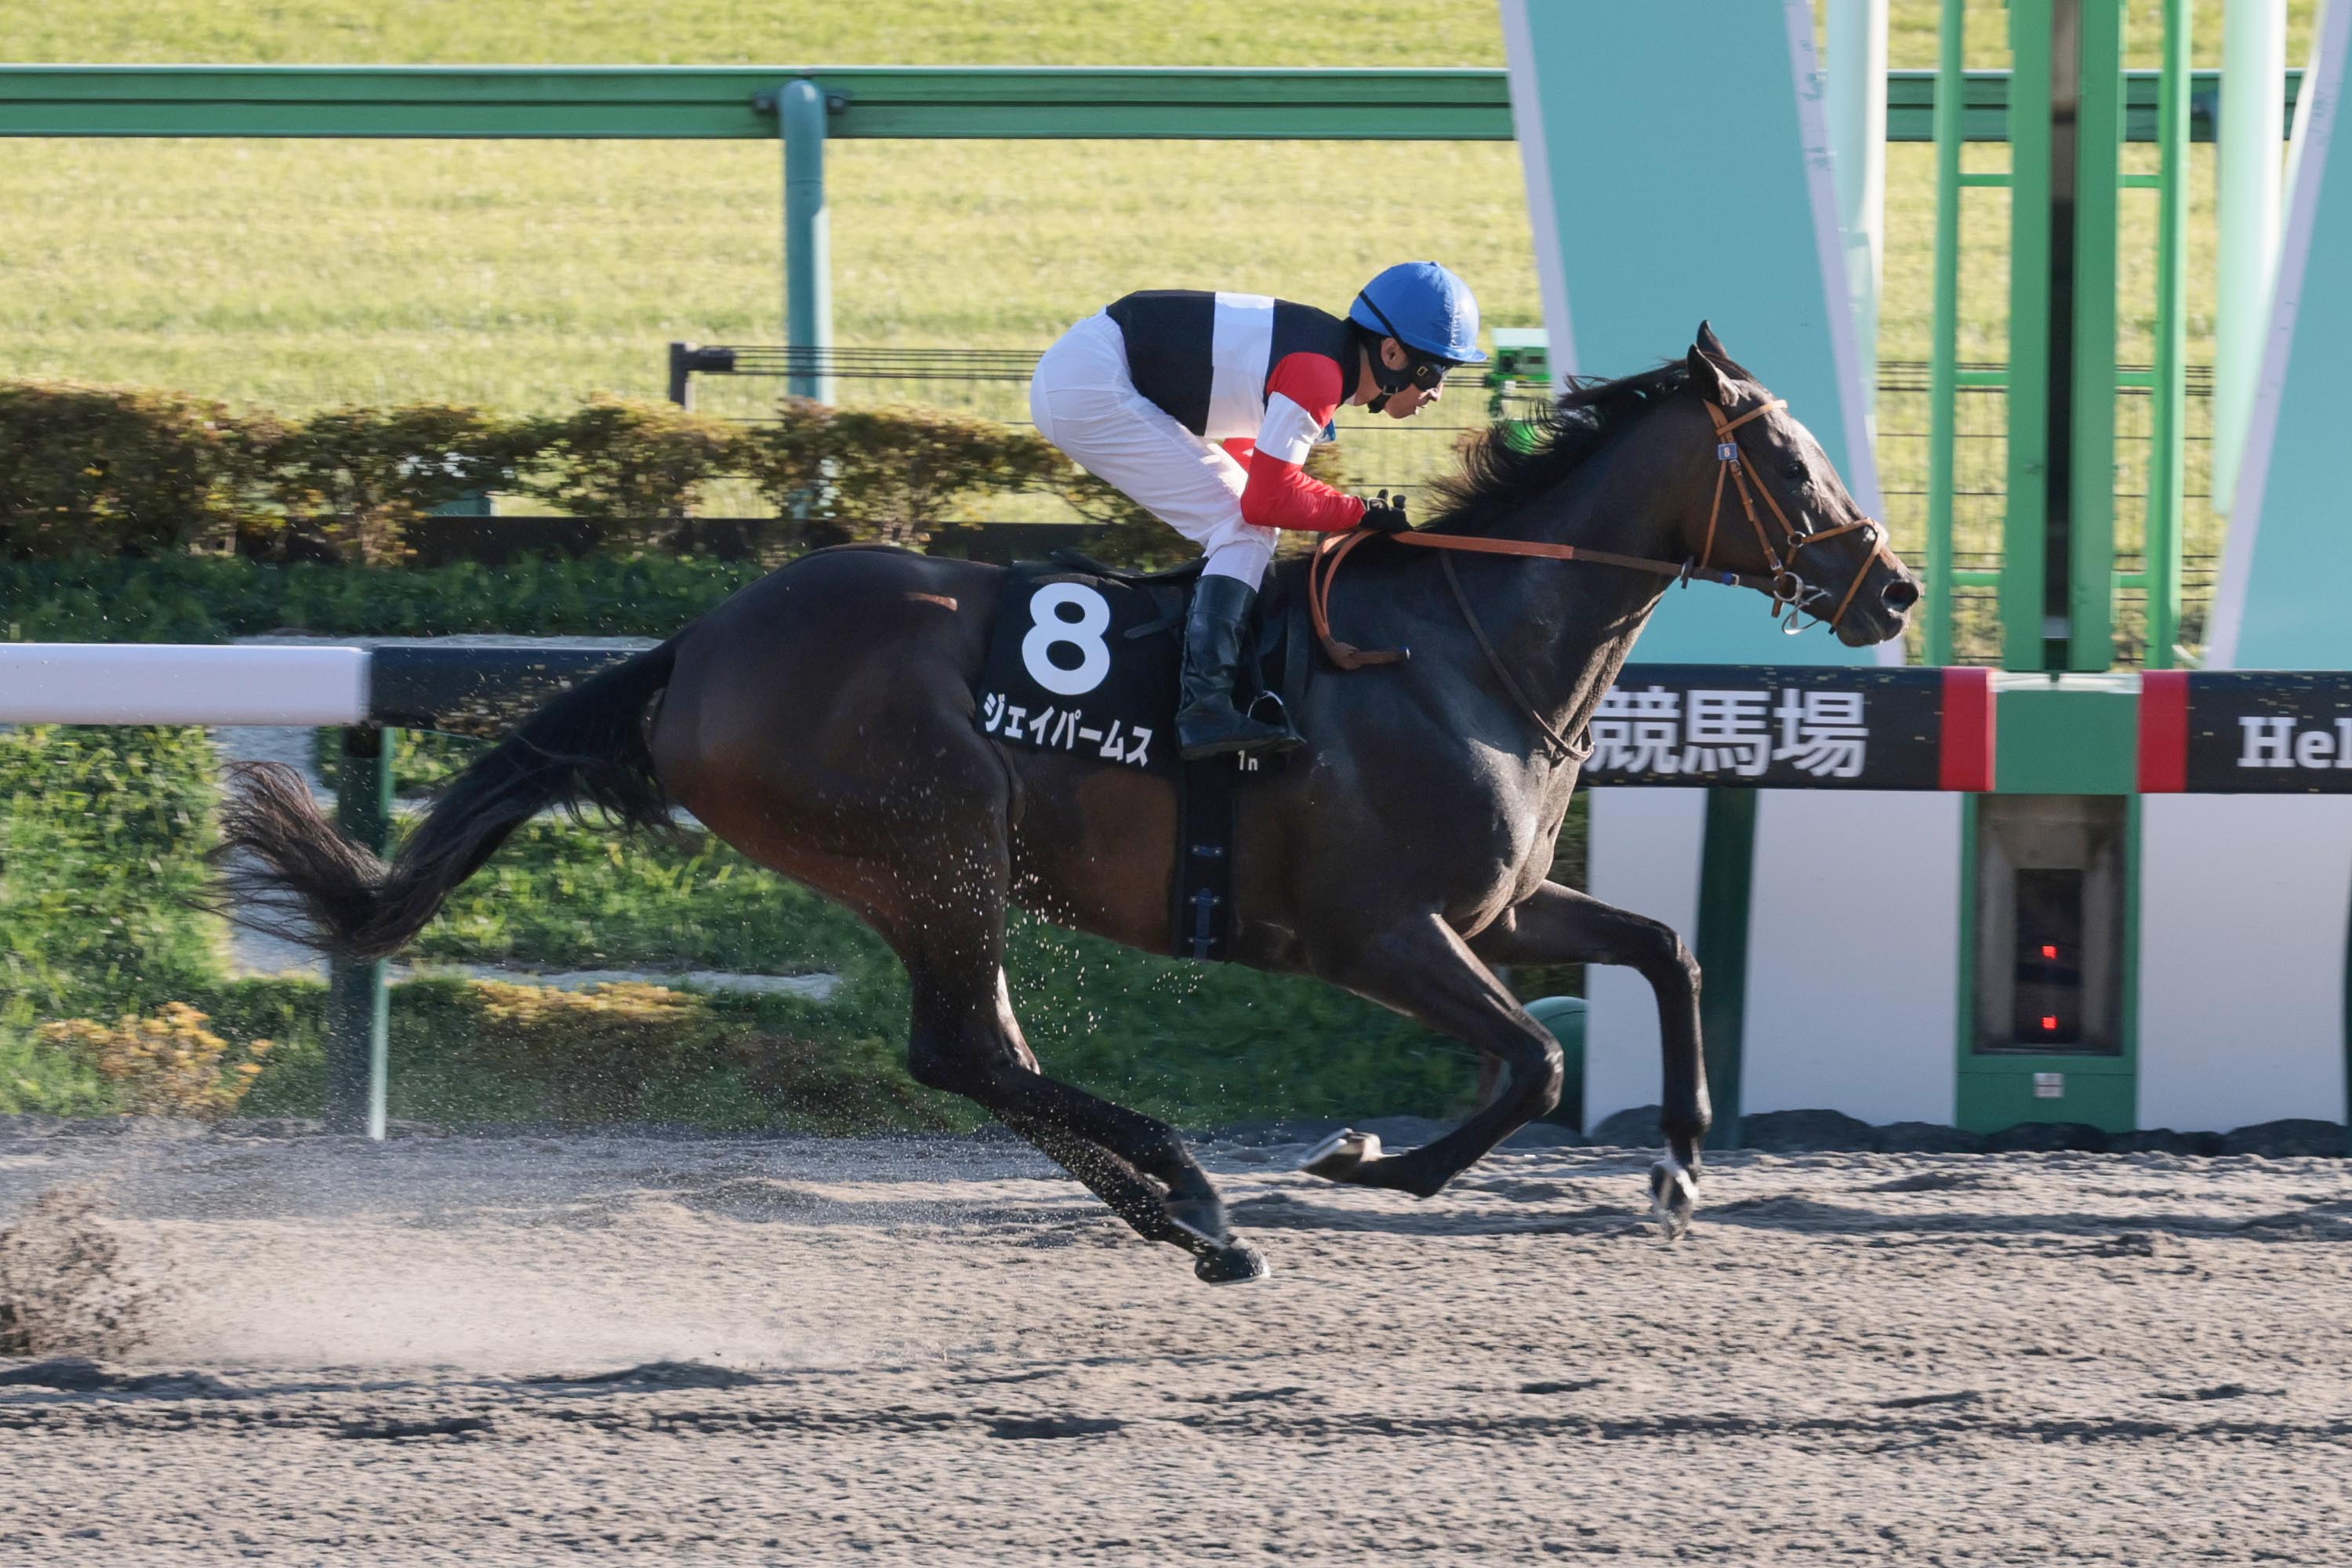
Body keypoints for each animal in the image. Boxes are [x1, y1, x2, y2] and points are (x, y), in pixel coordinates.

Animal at [216, 323, 1918, 1283]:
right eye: (1784, 457)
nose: (1891, 585)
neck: (1462, 647)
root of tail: (699, 645)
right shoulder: (1377, 933)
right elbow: (1535, 1064)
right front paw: (1371, 1164)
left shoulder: (1494, 909)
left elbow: (1663, 952)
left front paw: (1682, 1162)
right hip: (937, 844)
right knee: (968, 1048)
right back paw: (1197, 1195)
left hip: (928, 868)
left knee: (983, 1057)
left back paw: (1183, 1215)